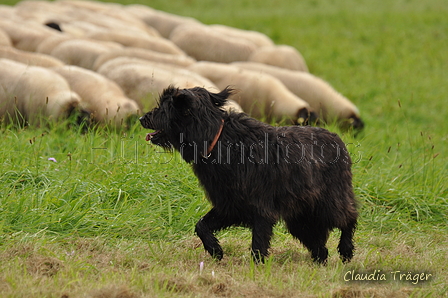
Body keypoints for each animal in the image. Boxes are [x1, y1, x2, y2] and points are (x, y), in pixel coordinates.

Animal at [140, 85, 356, 264]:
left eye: (163, 108)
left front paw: (256, 268)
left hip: (330, 201)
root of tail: (338, 141)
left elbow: (258, 243)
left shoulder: (261, 209)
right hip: (301, 217)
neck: (216, 138)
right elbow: (201, 225)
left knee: (350, 218)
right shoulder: (230, 205)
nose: (142, 118)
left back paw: (346, 250)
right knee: (320, 246)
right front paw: (215, 250)